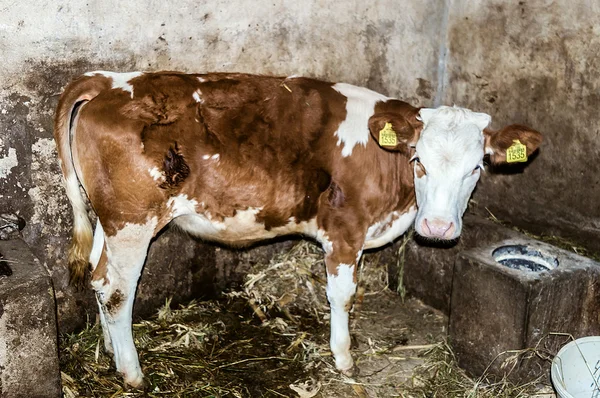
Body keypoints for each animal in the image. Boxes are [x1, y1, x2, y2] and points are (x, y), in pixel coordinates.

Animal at [55, 70, 544, 386]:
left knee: (99, 278)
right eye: (418, 159)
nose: (438, 227)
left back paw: (110, 351)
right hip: (133, 221)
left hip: (111, 220)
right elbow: (343, 296)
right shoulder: (345, 231)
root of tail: (109, 79)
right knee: (118, 292)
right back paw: (132, 372)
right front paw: (344, 358)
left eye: (476, 167)